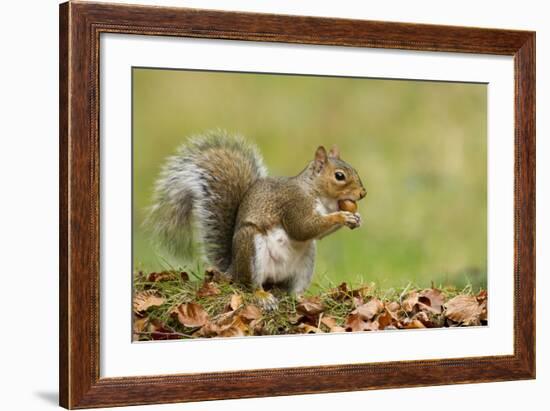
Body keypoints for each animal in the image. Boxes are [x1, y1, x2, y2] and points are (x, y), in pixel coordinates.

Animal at [149, 130, 368, 308]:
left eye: (355, 170)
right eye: (339, 176)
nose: (363, 193)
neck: (317, 194)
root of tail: (233, 270)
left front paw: (356, 218)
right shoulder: (294, 204)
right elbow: (303, 228)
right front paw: (342, 216)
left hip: (305, 262)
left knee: (292, 290)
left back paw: (301, 299)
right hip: (252, 248)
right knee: (250, 285)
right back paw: (262, 296)